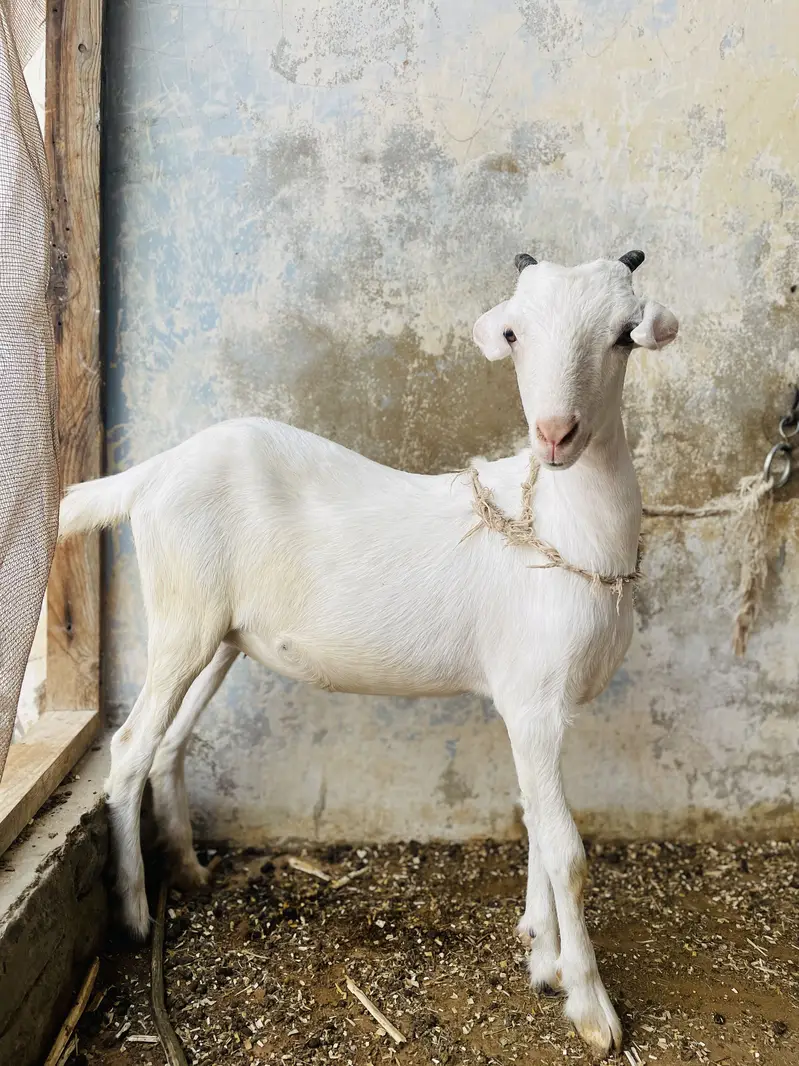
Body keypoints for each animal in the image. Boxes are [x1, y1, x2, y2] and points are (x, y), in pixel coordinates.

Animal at [58, 252, 678, 1056]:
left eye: (624, 336)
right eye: (513, 333)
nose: (555, 433)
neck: (558, 527)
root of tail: (150, 474)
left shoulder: (536, 709)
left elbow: (538, 829)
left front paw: (539, 955)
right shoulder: (535, 704)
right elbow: (567, 850)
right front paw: (590, 1007)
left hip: (220, 636)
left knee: (170, 742)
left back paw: (189, 870)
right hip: (181, 616)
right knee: (131, 745)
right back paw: (136, 915)